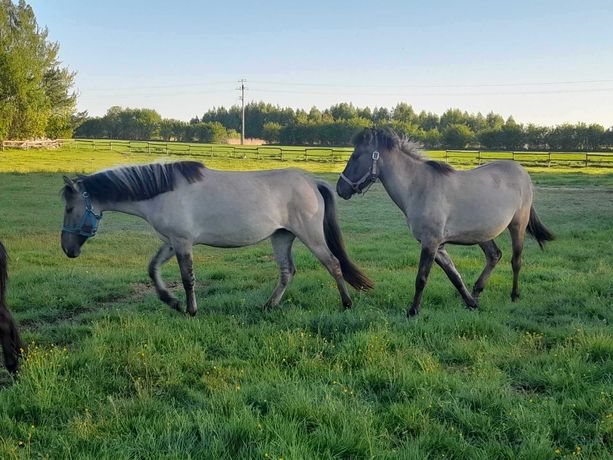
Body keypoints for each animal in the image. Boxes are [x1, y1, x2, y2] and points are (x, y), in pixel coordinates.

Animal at [61, 162, 372, 316]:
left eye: (68, 208)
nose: (67, 249)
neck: (164, 191)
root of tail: (311, 181)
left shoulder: (183, 242)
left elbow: (187, 278)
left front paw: (190, 309)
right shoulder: (173, 241)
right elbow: (153, 269)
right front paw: (170, 301)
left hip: (310, 235)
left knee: (333, 264)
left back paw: (346, 304)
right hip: (282, 236)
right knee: (287, 272)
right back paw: (269, 306)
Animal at [338, 127, 552, 318]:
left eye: (356, 156)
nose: (340, 189)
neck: (419, 187)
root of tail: (522, 171)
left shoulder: (430, 243)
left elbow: (421, 278)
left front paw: (413, 311)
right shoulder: (438, 246)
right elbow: (454, 276)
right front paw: (471, 303)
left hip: (518, 226)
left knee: (516, 261)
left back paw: (514, 295)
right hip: (482, 234)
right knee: (494, 255)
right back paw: (477, 291)